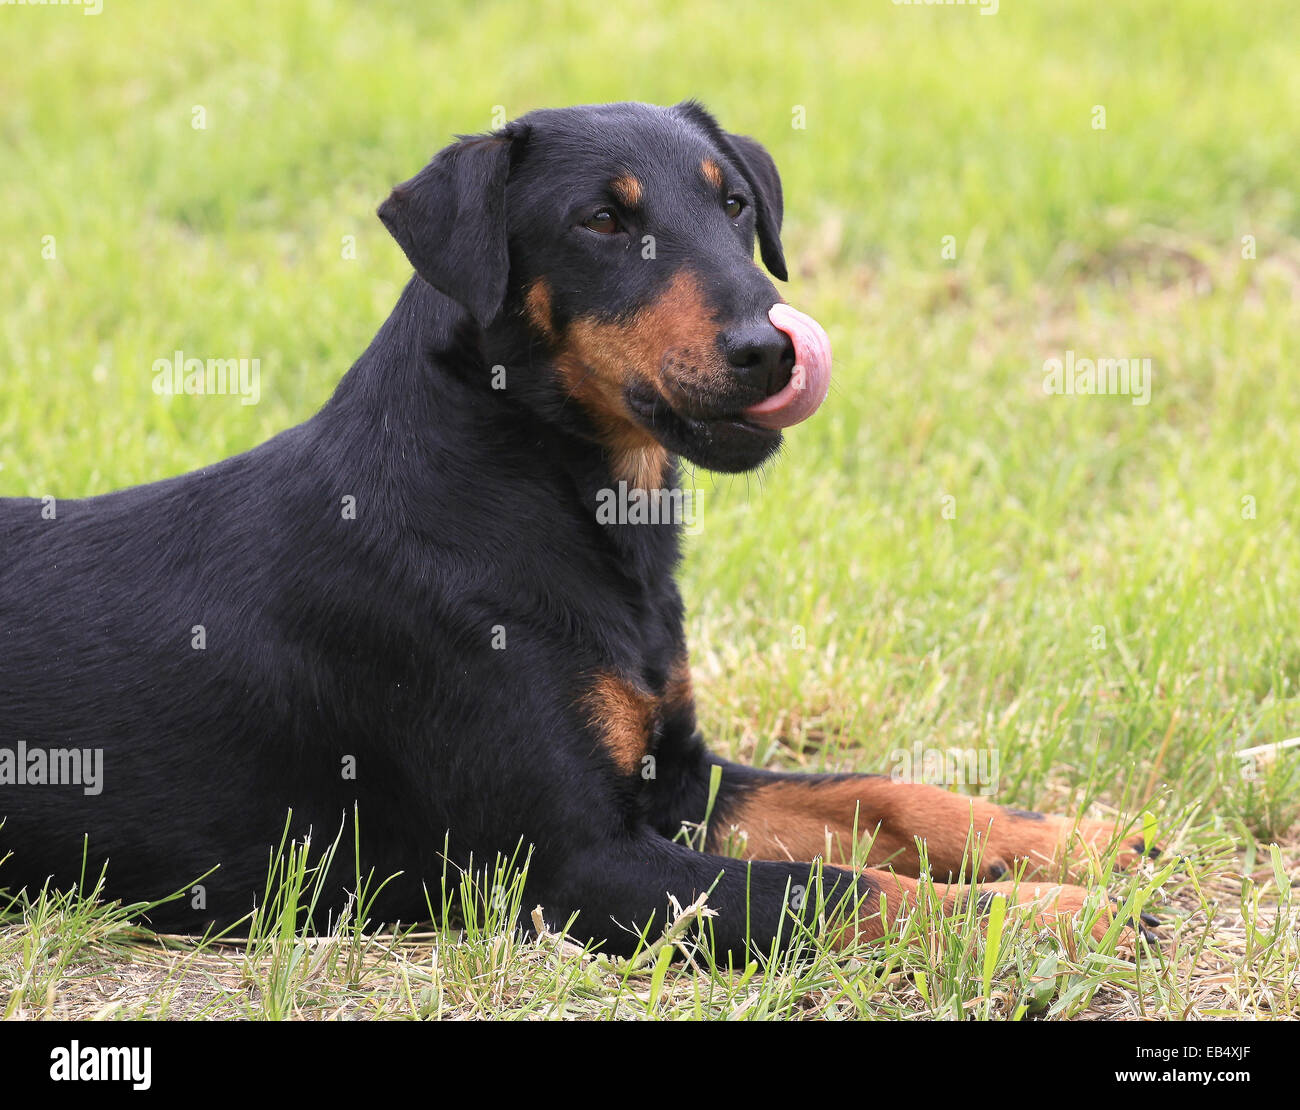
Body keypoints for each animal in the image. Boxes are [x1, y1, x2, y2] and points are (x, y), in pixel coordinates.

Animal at [0, 100, 1159, 961]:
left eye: (735, 204)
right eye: (601, 222)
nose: (772, 350)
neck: (561, 501)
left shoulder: (676, 779)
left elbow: (884, 794)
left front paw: (1078, 841)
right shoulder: (571, 867)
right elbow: (835, 888)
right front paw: (1053, 917)